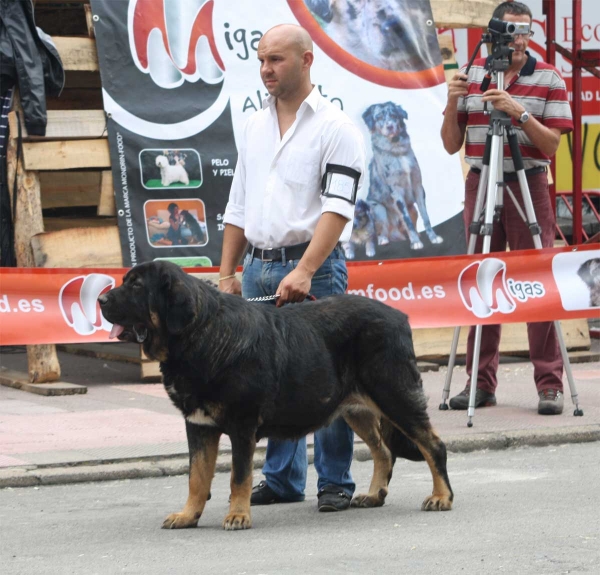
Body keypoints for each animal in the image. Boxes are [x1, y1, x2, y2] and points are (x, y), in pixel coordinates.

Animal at [99, 260, 454, 532]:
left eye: (136, 286)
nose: (101, 300)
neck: (199, 336)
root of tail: (401, 317)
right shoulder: (198, 425)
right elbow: (197, 477)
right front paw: (188, 516)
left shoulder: (242, 425)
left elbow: (238, 476)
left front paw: (237, 516)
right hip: (355, 409)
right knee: (384, 451)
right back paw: (374, 495)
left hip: (394, 395)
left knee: (432, 444)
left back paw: (441, 497)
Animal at [364, 102, 442, 251]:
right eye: (379, 117)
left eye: (394, 115)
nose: (390, 126)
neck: (396, 149)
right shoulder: (396, 191)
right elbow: (406, 219)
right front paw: (416, 242)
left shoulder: (418, 187)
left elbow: (425, 216)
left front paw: (433, 237)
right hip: (379, 209)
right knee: (381, 230)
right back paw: (384, 239)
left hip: (413, 209)